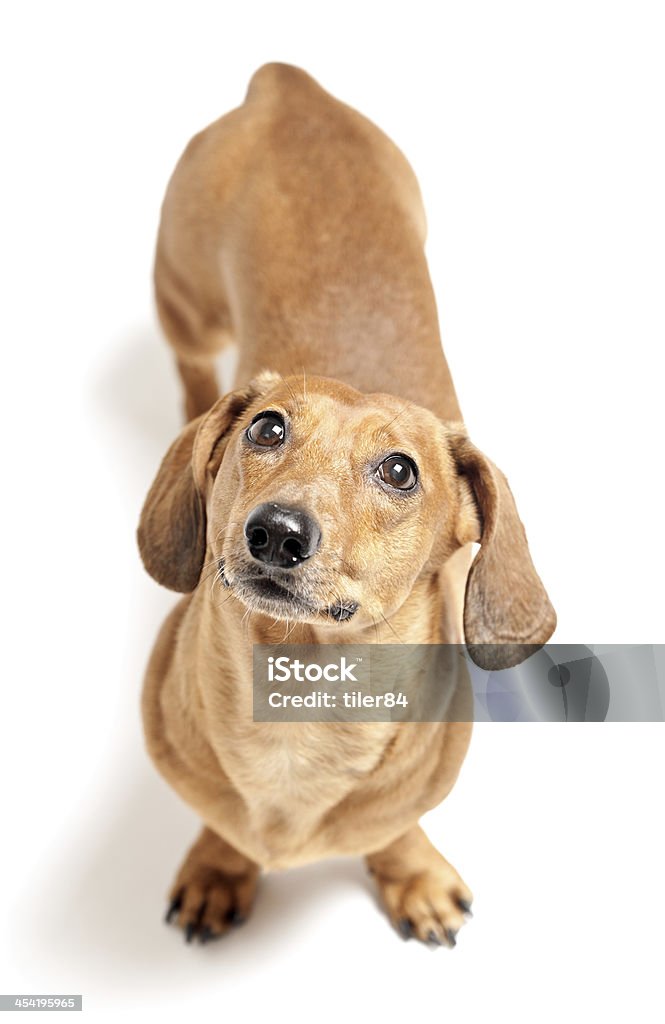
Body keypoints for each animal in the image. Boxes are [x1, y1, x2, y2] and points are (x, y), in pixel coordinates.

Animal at [137, 61, 553, 942]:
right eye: (267, 426)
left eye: (400, 471)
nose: (275, 533)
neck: (303, 704)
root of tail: (286, 88)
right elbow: (221, 823)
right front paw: (219, 866)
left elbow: (395, 826)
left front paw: (411, 872)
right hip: (184, 297)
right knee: (190, 360)